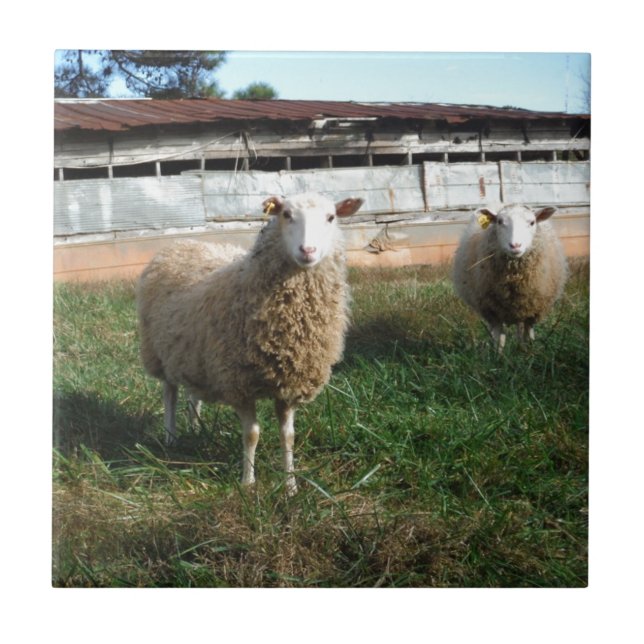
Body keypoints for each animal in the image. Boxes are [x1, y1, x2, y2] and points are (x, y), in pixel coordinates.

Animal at [136, 192, 364, 494]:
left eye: (331, 217)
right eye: (286, 214)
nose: (308, 250)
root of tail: (181, 243)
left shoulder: (289, 385)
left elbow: (288, 436)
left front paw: (290, 485)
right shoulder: (239, 383)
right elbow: (252, 435)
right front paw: (248, 483)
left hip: (196, 355)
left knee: (193, 395)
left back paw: (195, 428)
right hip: (159, 354)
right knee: (170, 395)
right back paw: (170, 439)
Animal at [452, 203, 568, 352]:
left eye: (532, 222)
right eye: (500, 222)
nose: (515, 245)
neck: (514, 278)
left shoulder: (533, 310)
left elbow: (528, 335)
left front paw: (528, 353)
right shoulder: (493, 312)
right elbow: (499, 340)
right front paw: (498, 356)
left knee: (520, 329)